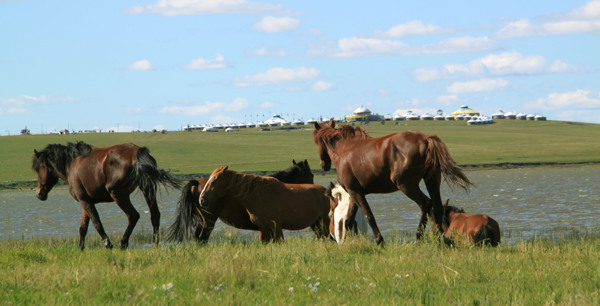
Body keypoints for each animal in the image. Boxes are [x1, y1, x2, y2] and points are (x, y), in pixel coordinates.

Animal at [31, 141, 180, 249]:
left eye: (39, 168)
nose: (39, 194)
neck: (71, 164)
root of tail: (136, 151)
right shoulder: (86, 202)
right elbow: (83, 228)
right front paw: (80, 248)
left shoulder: (84, 201)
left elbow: (97, 222)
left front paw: (108, 244)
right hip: (146, 189)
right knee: (155, 215)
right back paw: (155, 244)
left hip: (118, 194)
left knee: (133, 216)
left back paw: (123, 243)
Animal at [314, 118, 474, 245]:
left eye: (316, 141)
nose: (323, 165)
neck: (345, 150)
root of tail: (426, 139)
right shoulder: (354, 193)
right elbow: (348, 220)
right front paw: (345, 243)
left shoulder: (356, 193)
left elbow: (369, 216)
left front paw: (380, 241)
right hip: (432, 180)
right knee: (438, 207)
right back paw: (442, 238)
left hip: (406, 185)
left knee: (426, 204)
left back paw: (419, 237)